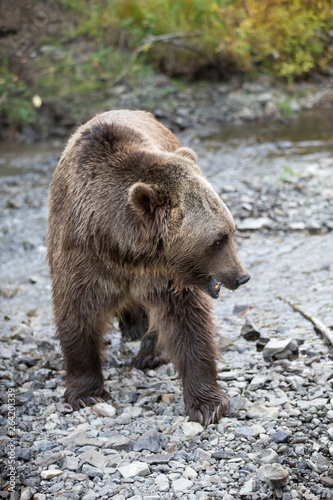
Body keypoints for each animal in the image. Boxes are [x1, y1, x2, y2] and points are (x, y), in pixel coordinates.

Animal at [46, 109, 249, 426]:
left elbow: (188, 323)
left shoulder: (165, 277)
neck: (123, 248)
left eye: (231, 231)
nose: (241, 276)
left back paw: (149, 353)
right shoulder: (80, 254)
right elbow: (77, 313)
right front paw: (87, 393)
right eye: (218, 240)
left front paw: (208, 404)